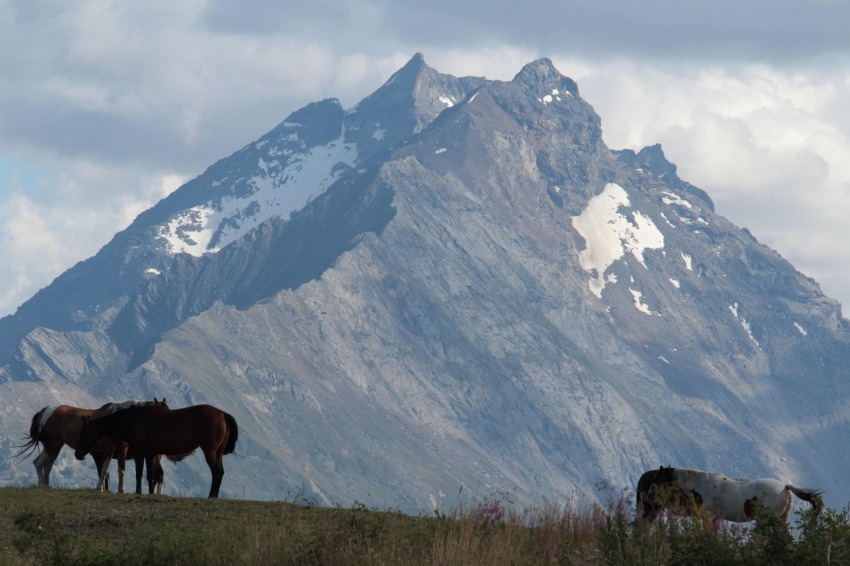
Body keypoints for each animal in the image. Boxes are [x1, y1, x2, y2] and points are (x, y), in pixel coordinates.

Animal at [16, 398, 167, 494]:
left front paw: (121, 490)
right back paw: (42, 485)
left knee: (45, 465)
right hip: (52, 445)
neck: (117, 421)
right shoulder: (108, 450)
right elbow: (105, 471)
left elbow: (121, 471)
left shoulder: (121, 451)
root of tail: (46, 410)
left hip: (54, 446)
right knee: (39, 464)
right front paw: (99, 488)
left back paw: (46, 485)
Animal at [74, 404, 237, 502]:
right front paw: (151, 493)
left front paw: (138, 491)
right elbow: (150, 475)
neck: (133, 420)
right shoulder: (150, 454)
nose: (77, 454)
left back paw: (212, 496)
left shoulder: (140, 453)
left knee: (216, 472)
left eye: (83, 433)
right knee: (220, 472)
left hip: (209, 451)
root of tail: (222, 414)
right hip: (218, 453)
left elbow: (139, 474)